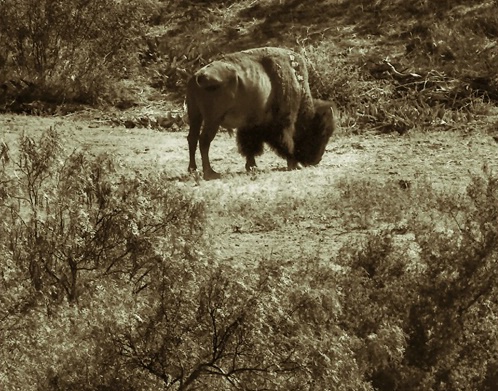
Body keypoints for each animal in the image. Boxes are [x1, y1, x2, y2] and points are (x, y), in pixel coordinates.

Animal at [187, 46, 338, 180]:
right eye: (322, 133)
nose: (317, 160)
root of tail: (197, 76)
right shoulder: (284, 121)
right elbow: (286, 141)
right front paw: (294, 164)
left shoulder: (249, 124)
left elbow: (249, 145)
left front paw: (251, 166)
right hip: (213, 119)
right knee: (204, 140)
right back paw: (210, 173)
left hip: (195, 116)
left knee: (192, 139)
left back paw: (193, 170)